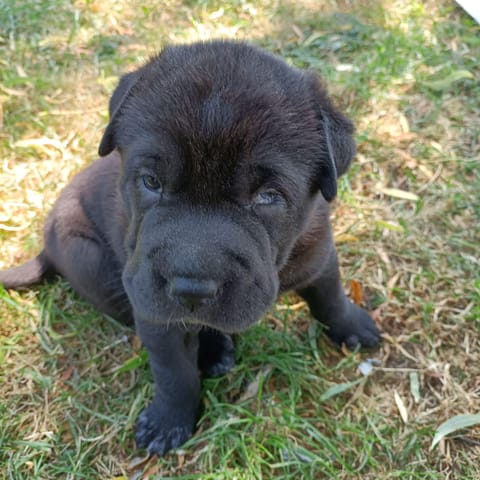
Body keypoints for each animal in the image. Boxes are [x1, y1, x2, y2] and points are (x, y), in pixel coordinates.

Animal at [0, 40, 378, 454]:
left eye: (268, 196)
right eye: (151, 181)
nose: (191, 289)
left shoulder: (319, 254)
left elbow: (330, 297)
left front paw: (353, 326)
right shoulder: (152, 310)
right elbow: (174, 371)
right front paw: (169, 422)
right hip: (87, 257)